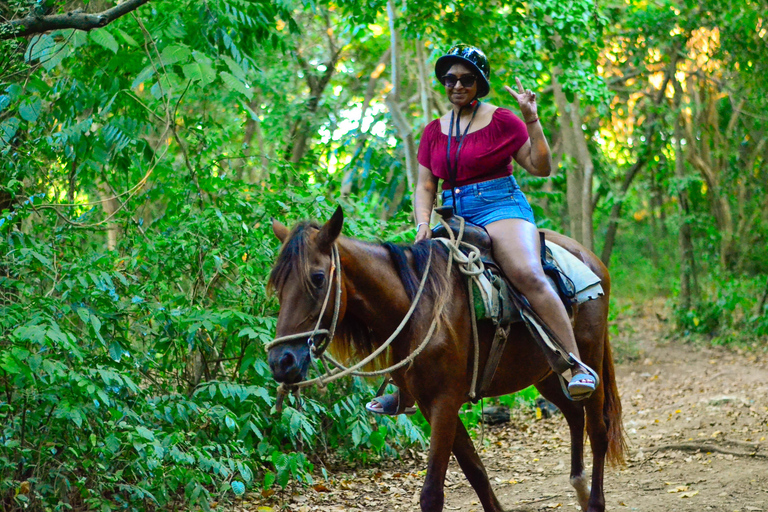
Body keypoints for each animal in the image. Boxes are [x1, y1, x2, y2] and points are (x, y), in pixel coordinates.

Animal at [268, 207, 628, 512]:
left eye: (317, 278)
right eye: (278, 284)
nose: (279, 361)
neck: (418, 307)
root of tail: (591, 259)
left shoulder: (444, 401)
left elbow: (432, 493)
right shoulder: (431, 404)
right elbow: (476, 471)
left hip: (589, 357)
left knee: (598, 429)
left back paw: (594, 502)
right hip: (547, 373)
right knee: (573, 415)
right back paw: (579, 486)